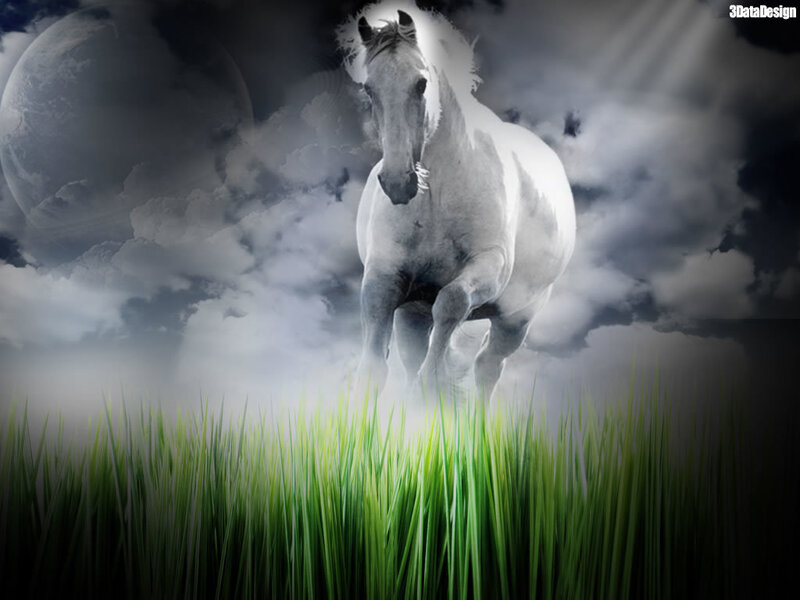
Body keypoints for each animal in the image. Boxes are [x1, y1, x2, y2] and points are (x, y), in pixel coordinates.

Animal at [338, 2, 575, 398]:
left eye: (421, 83)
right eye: (369, 89)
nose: (398, 182)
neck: (435, 197)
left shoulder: (489, 265)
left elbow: (452, 303)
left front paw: (432, 386)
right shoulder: (385, 275)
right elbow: (373, 368)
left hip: (516, 320)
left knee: (487, 367)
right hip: (413, 312)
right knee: (415, 355)